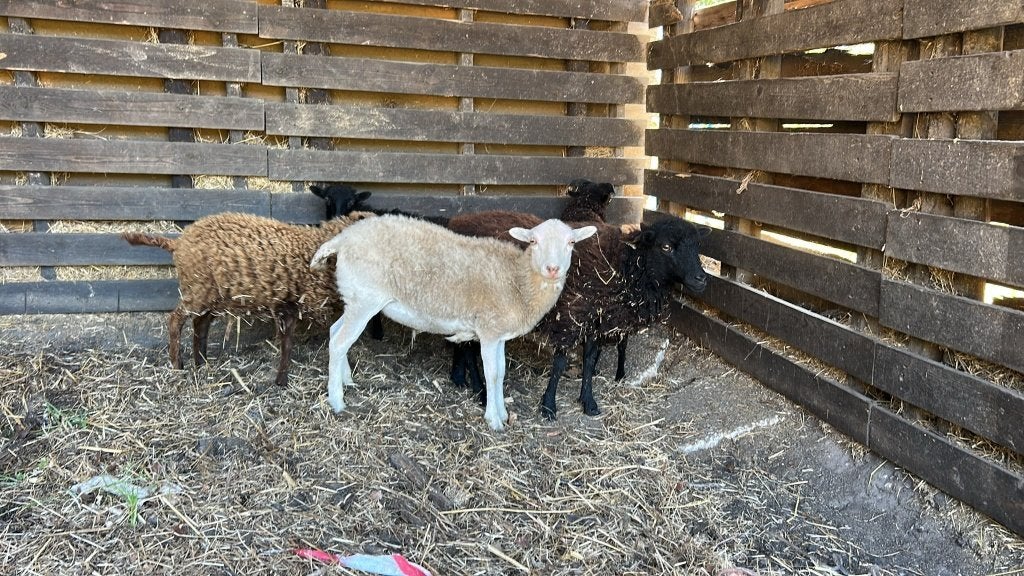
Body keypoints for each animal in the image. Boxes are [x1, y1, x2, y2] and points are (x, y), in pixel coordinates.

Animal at [121, 184, 375, 387]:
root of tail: (179, 242)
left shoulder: (288, 304)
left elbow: (288, 342)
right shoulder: (287, 303)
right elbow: (287, 344)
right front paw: (281, 381)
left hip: (211, 293)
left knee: (200, 324)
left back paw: (201, 362)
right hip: (197, 288)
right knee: (176, 320)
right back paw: (178, 364)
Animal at [309, 214, 597, 431]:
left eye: (571, 242)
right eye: (534, 241)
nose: (552, 269)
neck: (518, 281)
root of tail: (343, 238)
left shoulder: (498, 333)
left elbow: (502, 373)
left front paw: (503, 413)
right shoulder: (488, 329)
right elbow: (492, 374)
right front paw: (494, 420)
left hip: (355, 298)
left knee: (335, 332)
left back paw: (346, 380)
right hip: (365, 299)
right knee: (339, 342)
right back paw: (336, 400)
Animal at [446, 211, 708, 419]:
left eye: (697, 246)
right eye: (666, 247)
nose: (701, 279)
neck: (623, 265)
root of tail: (459, 220)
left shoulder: (593, 320)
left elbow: (590, 360)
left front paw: (588, 402)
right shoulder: (569, 318)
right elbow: (560, 363)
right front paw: (549, 405)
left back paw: (458, 377)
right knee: (469, 348)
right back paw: (479, 390)